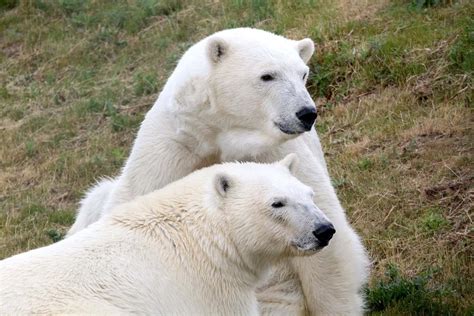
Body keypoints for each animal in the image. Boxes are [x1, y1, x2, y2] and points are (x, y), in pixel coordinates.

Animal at [68, 27, 368, 314]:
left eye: (303, 73)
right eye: (267, 76)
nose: (306, 113)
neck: (218, 136)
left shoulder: (273, 154)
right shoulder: (171, 149)